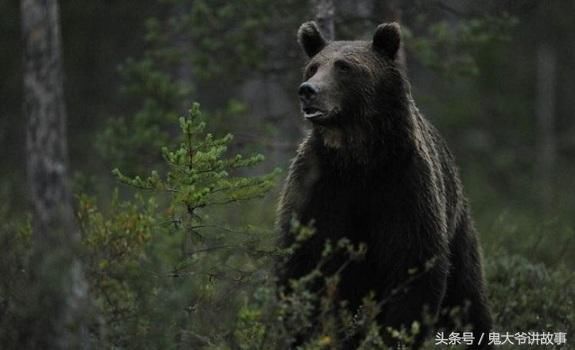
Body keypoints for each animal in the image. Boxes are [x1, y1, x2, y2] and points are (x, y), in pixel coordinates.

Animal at [276, 21, 492, 350]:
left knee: (467, 296)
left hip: (459, 229)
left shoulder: (402, 185)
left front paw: (395, 335)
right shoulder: (321, 186)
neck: (358, 159)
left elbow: (413, 264)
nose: (308, 91)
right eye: (313, 67)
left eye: (344, 66)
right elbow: (303, 258)